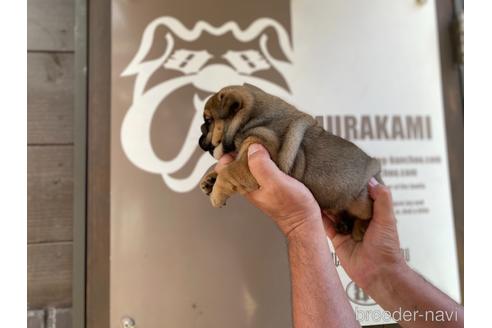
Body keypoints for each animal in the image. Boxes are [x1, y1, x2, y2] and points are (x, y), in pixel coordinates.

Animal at [198, 83, 382, 240]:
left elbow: (228, 172)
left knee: (369, 211)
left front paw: (216, 194)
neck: (250, 119)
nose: (200, 128)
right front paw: (210, 179)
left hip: (358, 200)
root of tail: (375, 168)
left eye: (208, 120)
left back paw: (360, 229)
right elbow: (224, 168)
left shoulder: (252, 158)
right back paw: (343, 224)